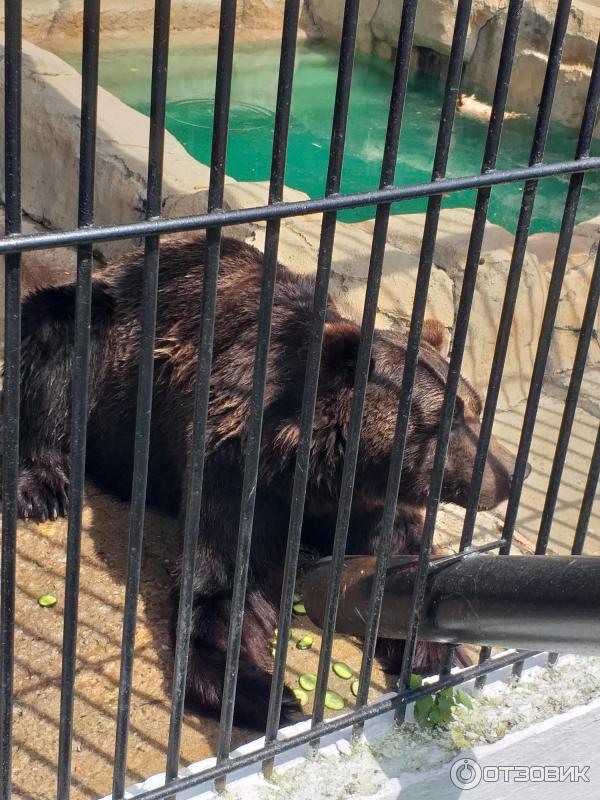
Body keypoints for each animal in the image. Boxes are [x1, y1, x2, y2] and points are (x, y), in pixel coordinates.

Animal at [16, 234, 516, 728]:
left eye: (474, 407)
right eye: (448, 419)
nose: (511, 475)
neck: (320, 471)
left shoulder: (369, 504)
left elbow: (402, 564)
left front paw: (437, 656)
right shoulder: (236, 469)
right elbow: (225, 582)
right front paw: (264, 694)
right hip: (109, 342)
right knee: (56, 336)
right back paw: (42, 486)